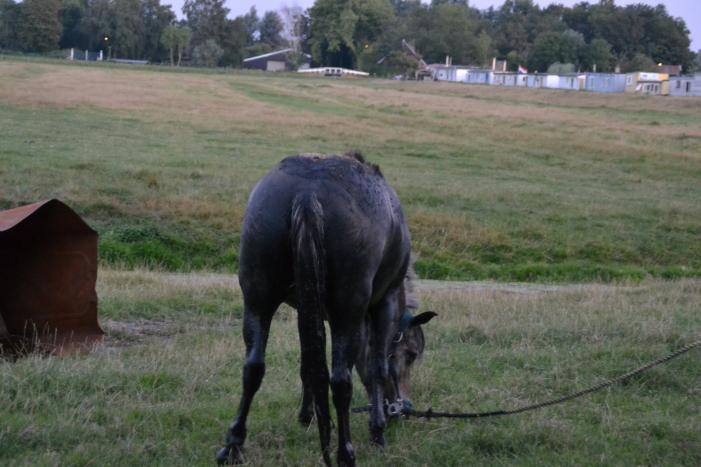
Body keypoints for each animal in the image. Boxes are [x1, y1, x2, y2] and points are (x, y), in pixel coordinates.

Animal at [217, 152, 436, 466]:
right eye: (411, 354)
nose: (402, 408)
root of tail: (307, 193)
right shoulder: (385, 304)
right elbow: (377, 367)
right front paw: (377, 430)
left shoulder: (307, 310)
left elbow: (308, 365)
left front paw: (307, 415)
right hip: (348, 311)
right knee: (341, 381)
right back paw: (345, 452)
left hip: (258, 299)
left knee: (253, 368)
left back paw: (233, 444)